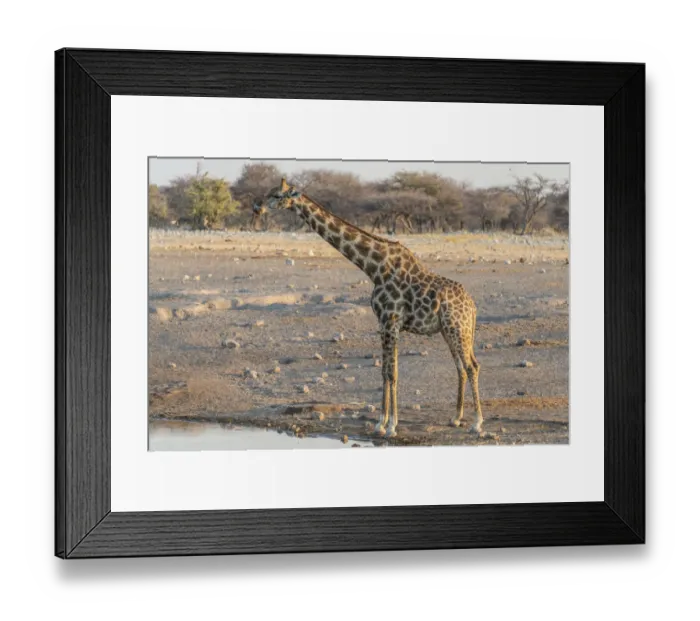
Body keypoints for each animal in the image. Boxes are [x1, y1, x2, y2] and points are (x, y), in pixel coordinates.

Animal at [257, 178, 484, 439]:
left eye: (276, 195)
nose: (257, 207)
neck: (374, 268)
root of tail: (472, 307)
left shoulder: (391, 321)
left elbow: (392, 373)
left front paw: (392, 426)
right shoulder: (383, 324)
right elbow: (384, 372)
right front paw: (380, 424)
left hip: (457, 328)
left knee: (472, 366)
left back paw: (477, 423)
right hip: (450, 331)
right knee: (461, 367)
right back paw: (456, 418)